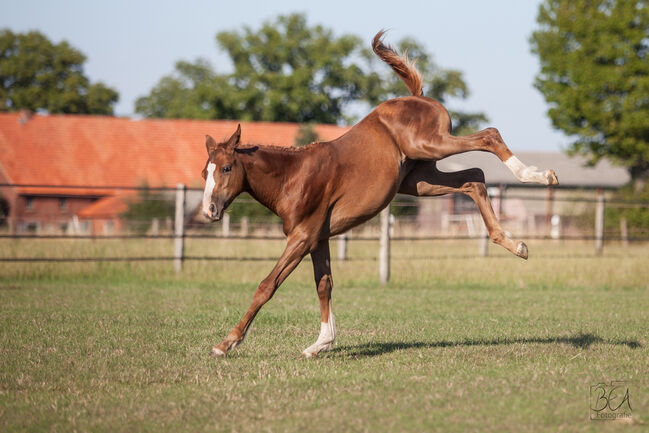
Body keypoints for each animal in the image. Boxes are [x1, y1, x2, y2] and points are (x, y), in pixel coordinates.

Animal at [201, 29, 556, 354]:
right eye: (205, 172)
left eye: (227, 168)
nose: (210, 211)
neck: (293, 176)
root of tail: (416, 96)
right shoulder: (318, 238)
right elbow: (324, 284)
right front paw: (321, 343)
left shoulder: (302, 237)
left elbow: (268, 285)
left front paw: (226, 343)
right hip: (419, 180)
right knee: (474, 179)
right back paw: (515, 243)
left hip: (430, 145)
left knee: (489, 136)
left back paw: (537, 176)